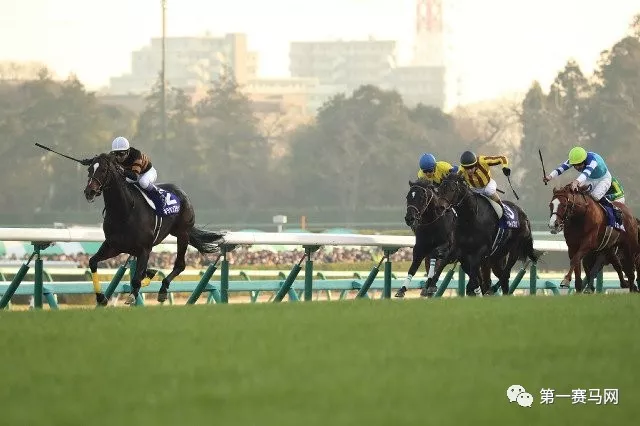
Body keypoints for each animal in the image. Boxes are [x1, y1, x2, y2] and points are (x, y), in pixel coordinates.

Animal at [83, 153, 225, 306]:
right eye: (89, 169)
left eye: (103, 170)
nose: (89, 191)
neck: (125, 211)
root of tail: (182, 193)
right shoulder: (113, 246)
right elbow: (92, 262)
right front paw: (101, 297)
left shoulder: (144, 249)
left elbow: (136, 279)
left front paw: (132, 296)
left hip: (183, 233)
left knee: (180, 265)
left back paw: (162, 289)